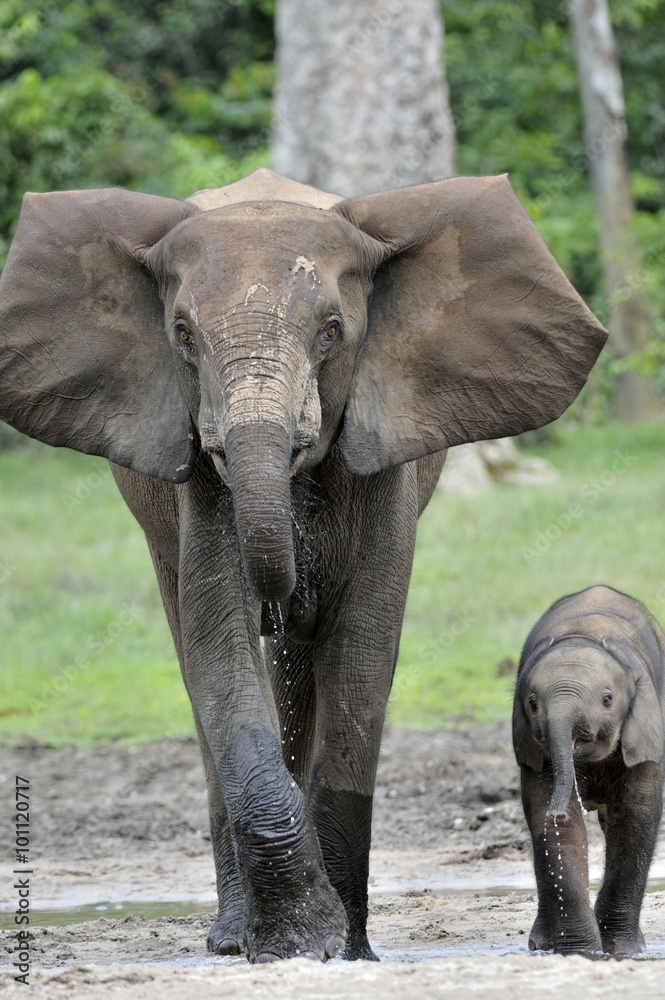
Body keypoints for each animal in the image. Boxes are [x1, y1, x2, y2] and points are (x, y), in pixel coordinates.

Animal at [0, 168, 606, 962]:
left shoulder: (383, 456)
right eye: (182, 334)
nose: (287, 588)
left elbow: (362, 648)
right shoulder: (202, 475)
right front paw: (293, 941)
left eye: (331, 331)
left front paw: (345, 950)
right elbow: (218, 637)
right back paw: (231, 936)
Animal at [513, 584, 665, 957]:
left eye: (608, 700)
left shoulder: (647, 726)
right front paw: (583, 953)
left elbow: (637, 814)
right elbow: (556, 825)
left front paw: (620, 951)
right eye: (532, 703)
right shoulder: (534, 744)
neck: (582, 635)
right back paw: (541, 944)